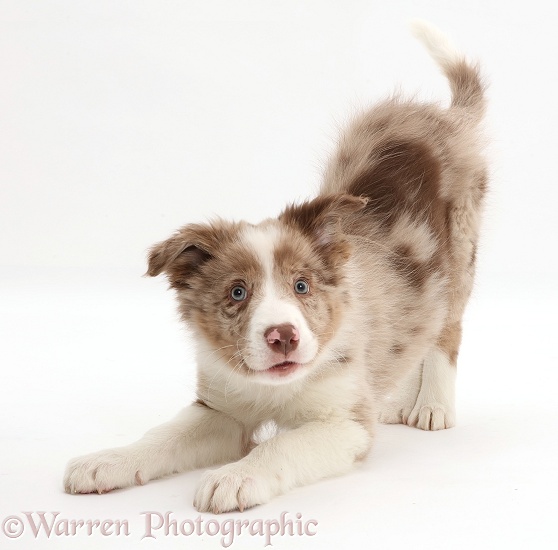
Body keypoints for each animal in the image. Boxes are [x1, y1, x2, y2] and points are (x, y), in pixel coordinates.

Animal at [63, 20, 488, 512]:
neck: (275, 388)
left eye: (302, 286)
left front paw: (233, 478)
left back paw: (433, 407)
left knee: (446, 331)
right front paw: (107, 460)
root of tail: (444, 116)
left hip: (461, 248)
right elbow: (162, 436)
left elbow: (281, 444)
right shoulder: (221, 410)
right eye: (237, 293)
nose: (283, 336)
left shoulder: (343, 423)